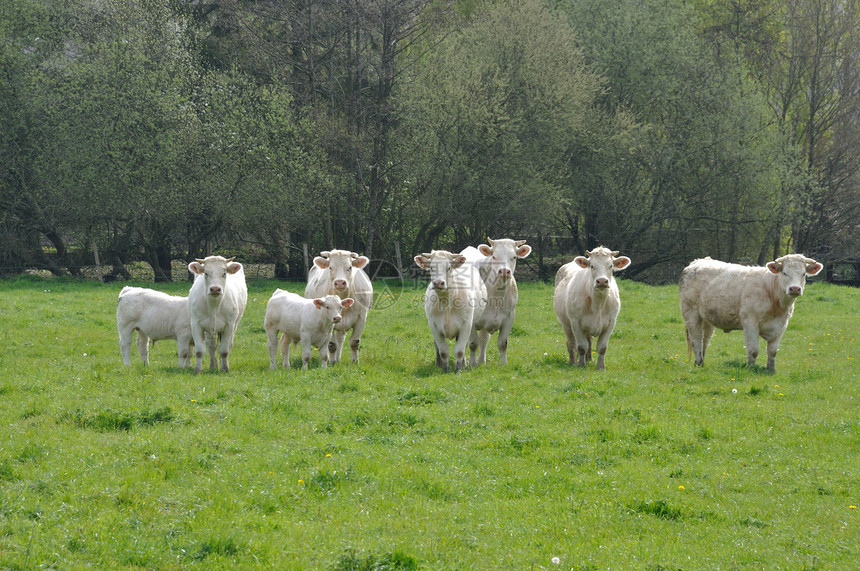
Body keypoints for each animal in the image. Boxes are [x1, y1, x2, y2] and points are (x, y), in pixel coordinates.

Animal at [464, 238, 532, 366]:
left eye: (514, 257)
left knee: (484, 339)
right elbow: (473, 344)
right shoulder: (471, 320)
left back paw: (482, 361)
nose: (504, 271)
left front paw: (504, 364)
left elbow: (502, 343)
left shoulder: (509, 318)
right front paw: (472, 364)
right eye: (494, 256)